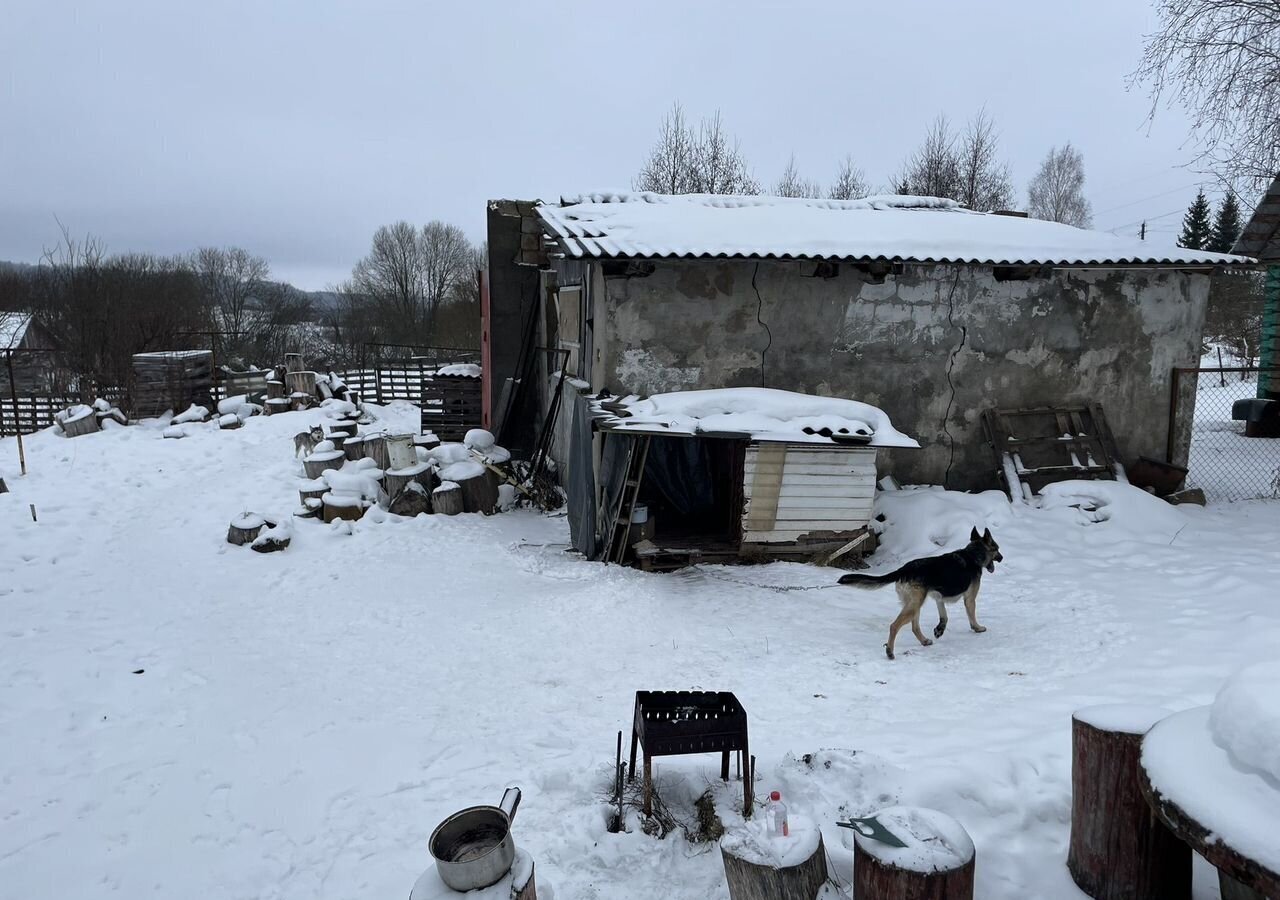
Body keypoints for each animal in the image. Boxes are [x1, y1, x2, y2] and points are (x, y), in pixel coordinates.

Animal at [834, 527, 1003, 660]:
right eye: (997, 549)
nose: (1002, 558)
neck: (973, 554)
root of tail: (904, 569)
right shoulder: (970, 598)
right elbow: (972, 615)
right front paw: (978, 628)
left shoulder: (938, 598)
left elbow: (944, 616)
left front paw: (939, 630)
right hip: (914, 605)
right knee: (894, 626)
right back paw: (890, 651)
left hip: (914, 604)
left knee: (914, 627)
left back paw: (924, 641)